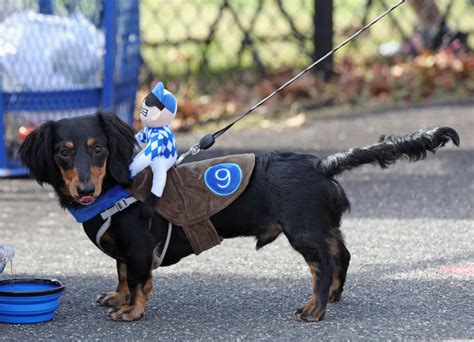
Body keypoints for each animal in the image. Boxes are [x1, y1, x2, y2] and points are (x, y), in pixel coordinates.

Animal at [19, 112, 460, 320]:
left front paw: (131, 310)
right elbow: (123, 273)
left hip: (304, 232)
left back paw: (314, 309)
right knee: (342, 255)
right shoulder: (126, 252)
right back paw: (333, 296)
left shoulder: (141, 247)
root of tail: (322, 164)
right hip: (320, 226)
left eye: (98, 148)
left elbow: (140, 282)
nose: (85, 189)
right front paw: (118, 296)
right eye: (63, 152)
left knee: (323, 264)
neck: (116, 188)